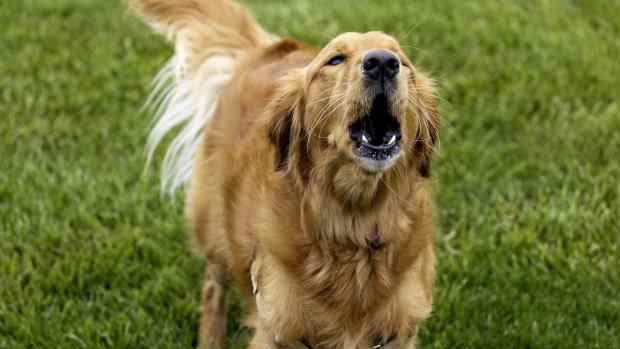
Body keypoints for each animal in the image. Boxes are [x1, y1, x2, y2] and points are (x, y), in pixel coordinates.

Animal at [131, 1, 440, 346]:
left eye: (403, 61)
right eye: (335, 59)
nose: (383, 63)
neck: (354, 225)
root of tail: (266, 50)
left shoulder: (398, 332)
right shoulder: (275, 327)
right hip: (213, 223)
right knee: (213, 285)